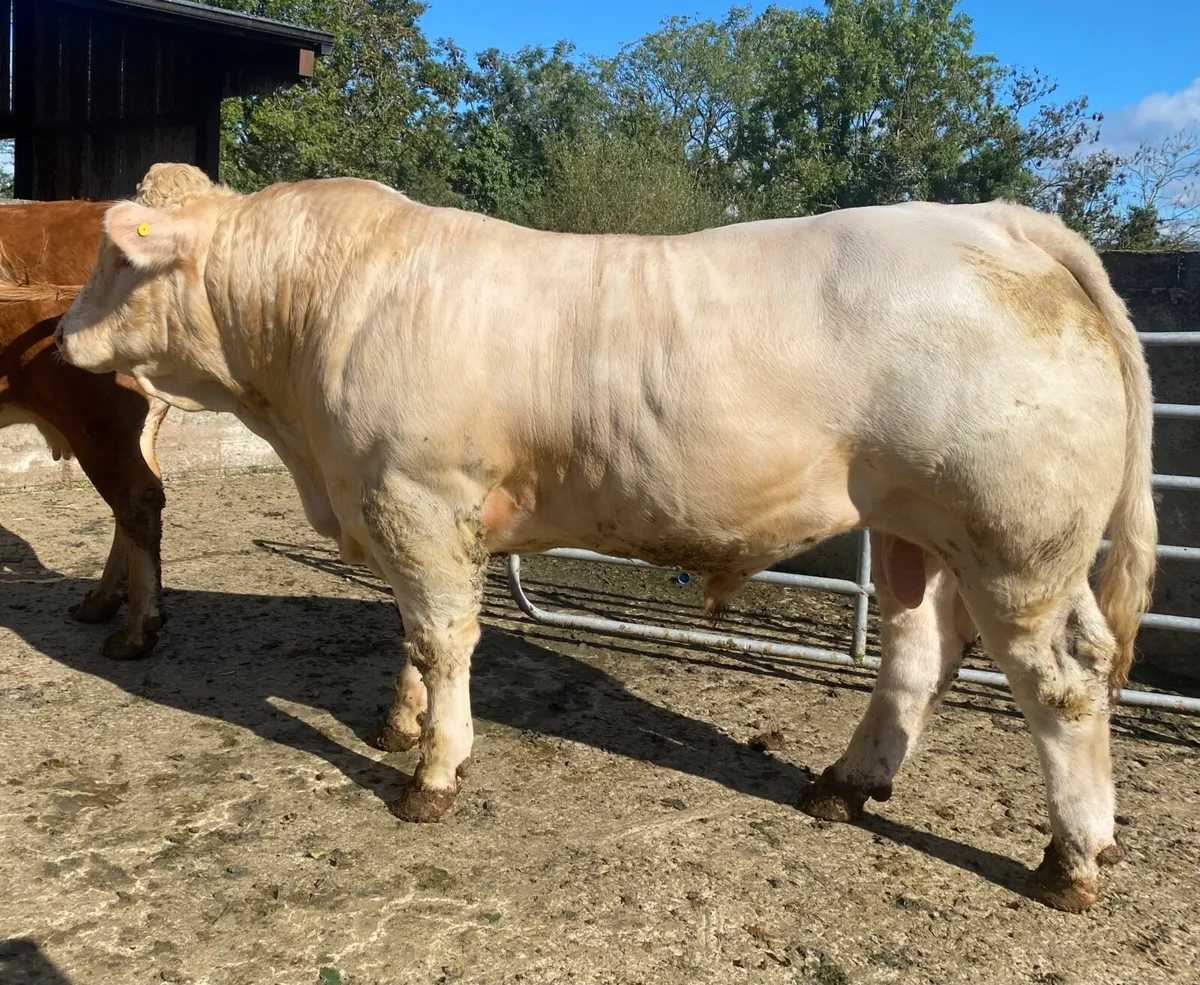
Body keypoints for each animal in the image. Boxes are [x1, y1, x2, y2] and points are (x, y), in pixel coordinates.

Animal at [57, 162, 1156, 913]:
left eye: (113, 256)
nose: (60, 338)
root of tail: (996, 220)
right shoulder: (387, 505)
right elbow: (411, 634)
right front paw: (400, 723)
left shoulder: (419, 498)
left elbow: (443, 639)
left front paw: (433, 771)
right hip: (921, 530)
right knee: (922, 652)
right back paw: (848, 786)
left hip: (1016, 541)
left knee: (1063, 684)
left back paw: (1070, 859)